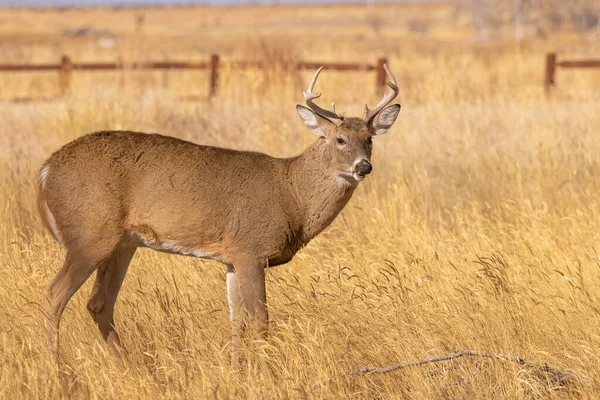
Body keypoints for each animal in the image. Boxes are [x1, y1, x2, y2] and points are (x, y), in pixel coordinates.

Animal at [39, 64, 400, 364]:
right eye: (339, 139)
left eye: (369, 139)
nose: (363, 167)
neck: (291, 193)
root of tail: (45, 171)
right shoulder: (251, 249)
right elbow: (260, 319)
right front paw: (266, 371)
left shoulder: (231, 257)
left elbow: (236, 320)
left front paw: (237, 369)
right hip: (90, 235)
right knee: (54, 295)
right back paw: (57, 371)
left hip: (123, 244)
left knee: (98, 303)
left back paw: (132, 368)